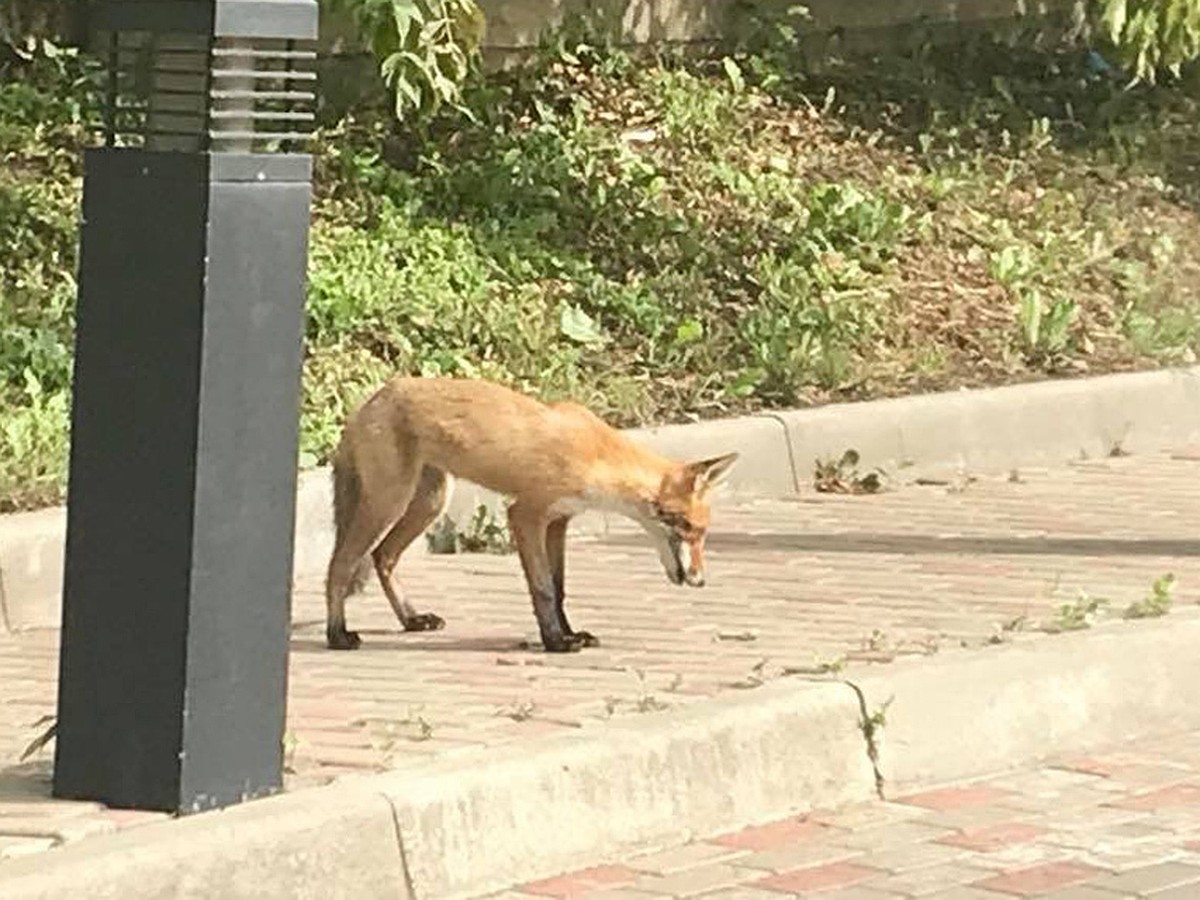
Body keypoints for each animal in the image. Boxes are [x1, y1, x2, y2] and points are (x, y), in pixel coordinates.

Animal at [328, 374, 739, 657]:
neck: (598, 457)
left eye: (704, 533)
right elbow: (542, 588)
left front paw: (569, 633)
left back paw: (410, 620)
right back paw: (337, 635)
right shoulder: (526, 514)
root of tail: (372, 399)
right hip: (389, 502)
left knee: (383, 557)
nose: (701, 581)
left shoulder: (559, 521)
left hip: (430, 502)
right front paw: (555, 641)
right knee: (341, 565)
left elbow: (559, 589)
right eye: (689, 528)